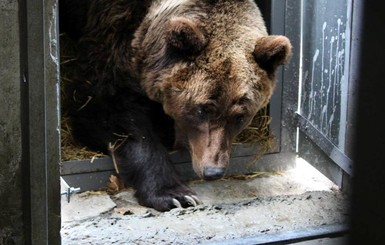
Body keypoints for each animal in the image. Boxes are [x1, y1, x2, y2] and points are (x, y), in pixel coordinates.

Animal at [58, 0, 290, 211]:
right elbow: (108, 112)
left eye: (240, 116)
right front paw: (175, 195)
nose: (213, 171)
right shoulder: (114, 38)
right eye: (202, 109)